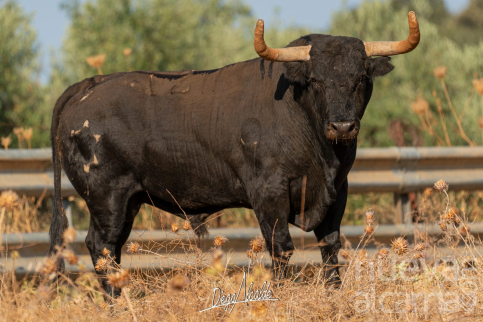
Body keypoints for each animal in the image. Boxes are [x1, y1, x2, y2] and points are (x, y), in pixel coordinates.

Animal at [49, 33, 398, 294]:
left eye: (361, 78)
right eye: (315, 80)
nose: (342, 126)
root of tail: (90, 84)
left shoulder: (336, 192)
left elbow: (330, 248)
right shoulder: (268, 193)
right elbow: (281, 247)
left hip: (127, 202)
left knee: (111, 248)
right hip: (107, 197)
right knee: (102, 247)